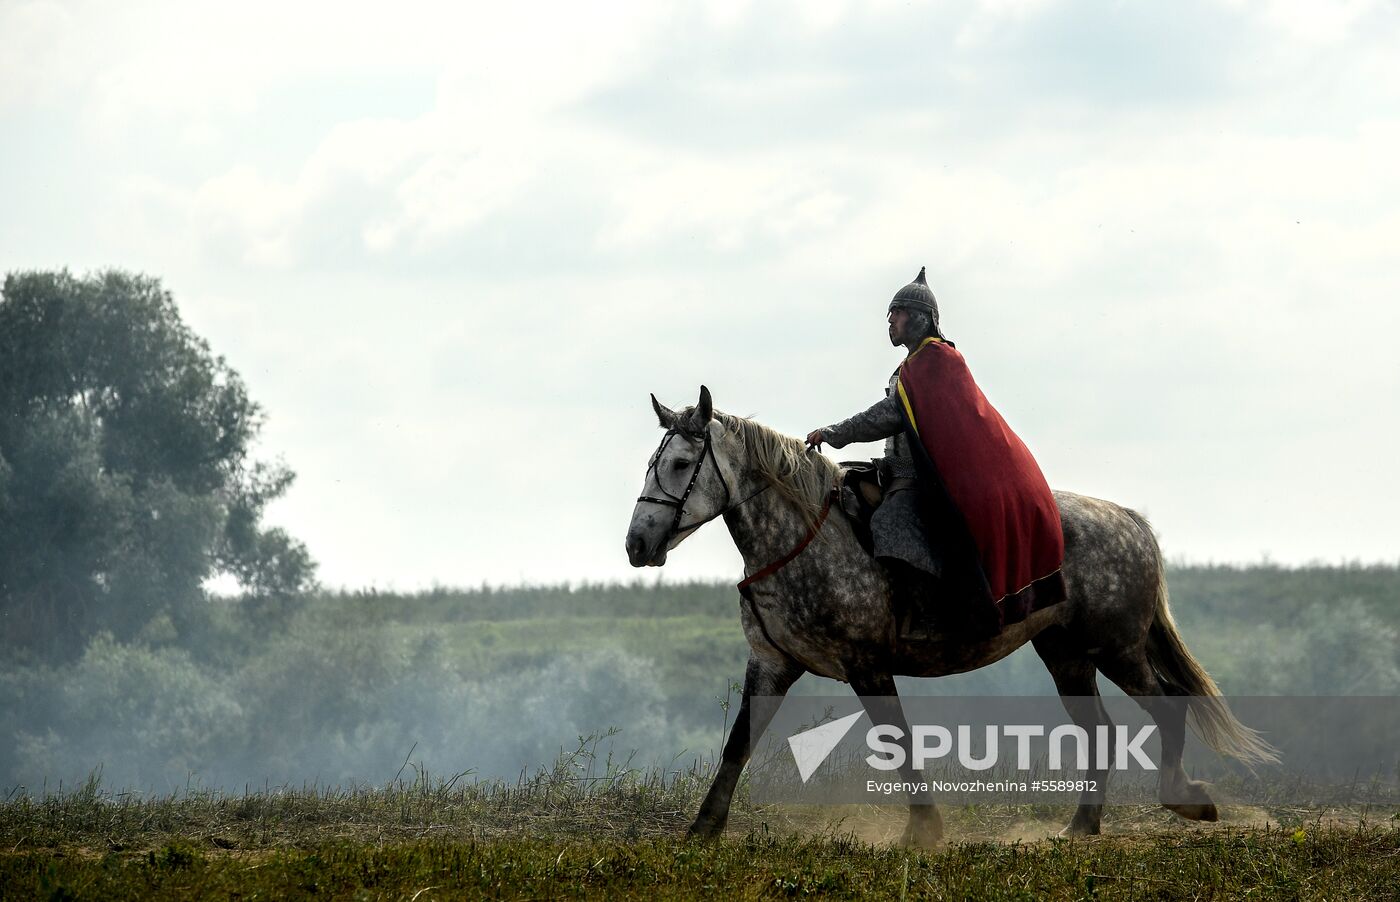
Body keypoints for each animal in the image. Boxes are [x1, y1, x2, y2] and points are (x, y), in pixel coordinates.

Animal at [627, 386, 1282, 845]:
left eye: (682, 464)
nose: (637, 544)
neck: (801, 537)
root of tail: (1130, 520)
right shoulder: (772, 663)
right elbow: (738, 744)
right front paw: (703, 828)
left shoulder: (867, 665)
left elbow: (897, 741)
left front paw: (923, 829)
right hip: (1067, 654)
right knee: (1100, 728)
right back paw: (1082, 825)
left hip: (1116, 648)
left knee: (1167, 705)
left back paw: (1186, 798)